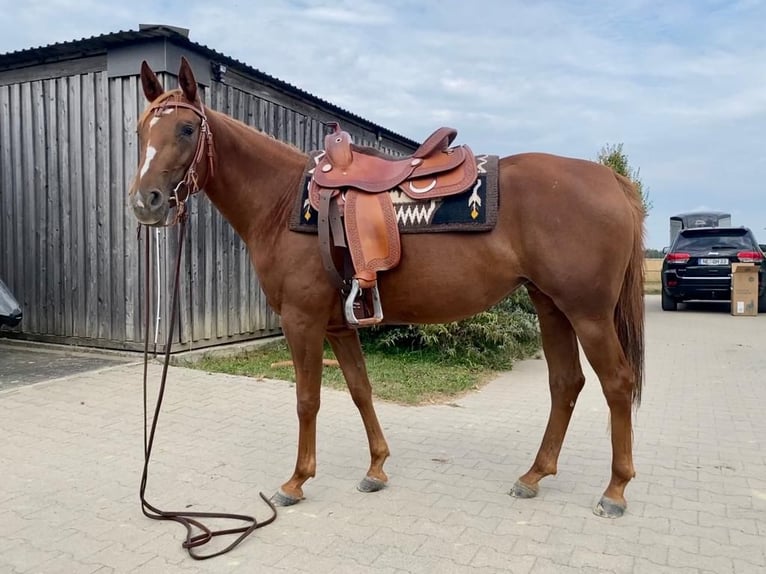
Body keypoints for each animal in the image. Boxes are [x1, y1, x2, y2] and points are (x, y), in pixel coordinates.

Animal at [132, 56, 648, 520]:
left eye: (187, 130)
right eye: (140, 131)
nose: (145, 202)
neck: (280, 204)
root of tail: (611, 179)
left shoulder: (302, 320)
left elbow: (307, 400)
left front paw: (296, 481)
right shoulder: (339, 325)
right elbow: (361, 389)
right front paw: (376, 468)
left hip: (588, 313)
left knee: (617, 383)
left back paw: (615, 491)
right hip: (551, 306)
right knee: (566, 384)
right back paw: (534, 475)